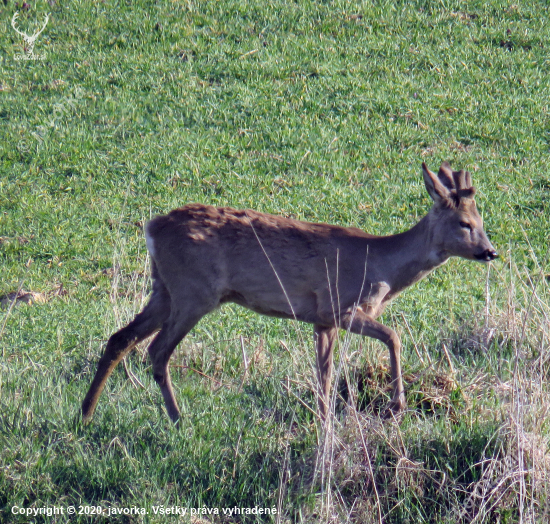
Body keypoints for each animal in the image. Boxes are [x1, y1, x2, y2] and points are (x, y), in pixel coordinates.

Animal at [82, 163, 500, 426]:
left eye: (481, 222)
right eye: (465, 223)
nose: (490, 251)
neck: (381, 265)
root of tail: (152, 228)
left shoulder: (321, 320)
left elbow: (325, 373)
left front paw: (324, 419)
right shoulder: (339, 305)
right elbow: (393, 337)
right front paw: (397, 404)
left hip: (164, 288)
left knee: (120, 339)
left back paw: (85, 415)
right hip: (193, 291)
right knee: (156, 350)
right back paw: (177, 419)